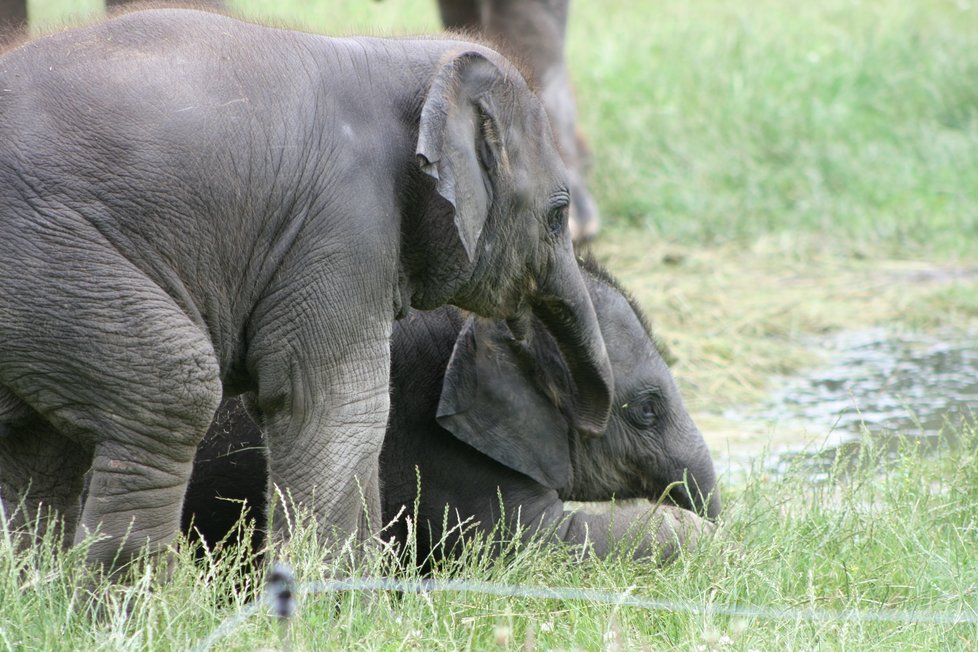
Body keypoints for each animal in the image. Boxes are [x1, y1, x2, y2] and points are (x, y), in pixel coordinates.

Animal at [0, 7, 608, 572]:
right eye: (557, 216)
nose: (589, 422)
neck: (405, 58)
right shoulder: (345, 222)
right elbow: (334, 407)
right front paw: (337, 601)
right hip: (49, 260)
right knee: (173, 397)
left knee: (40, 446)